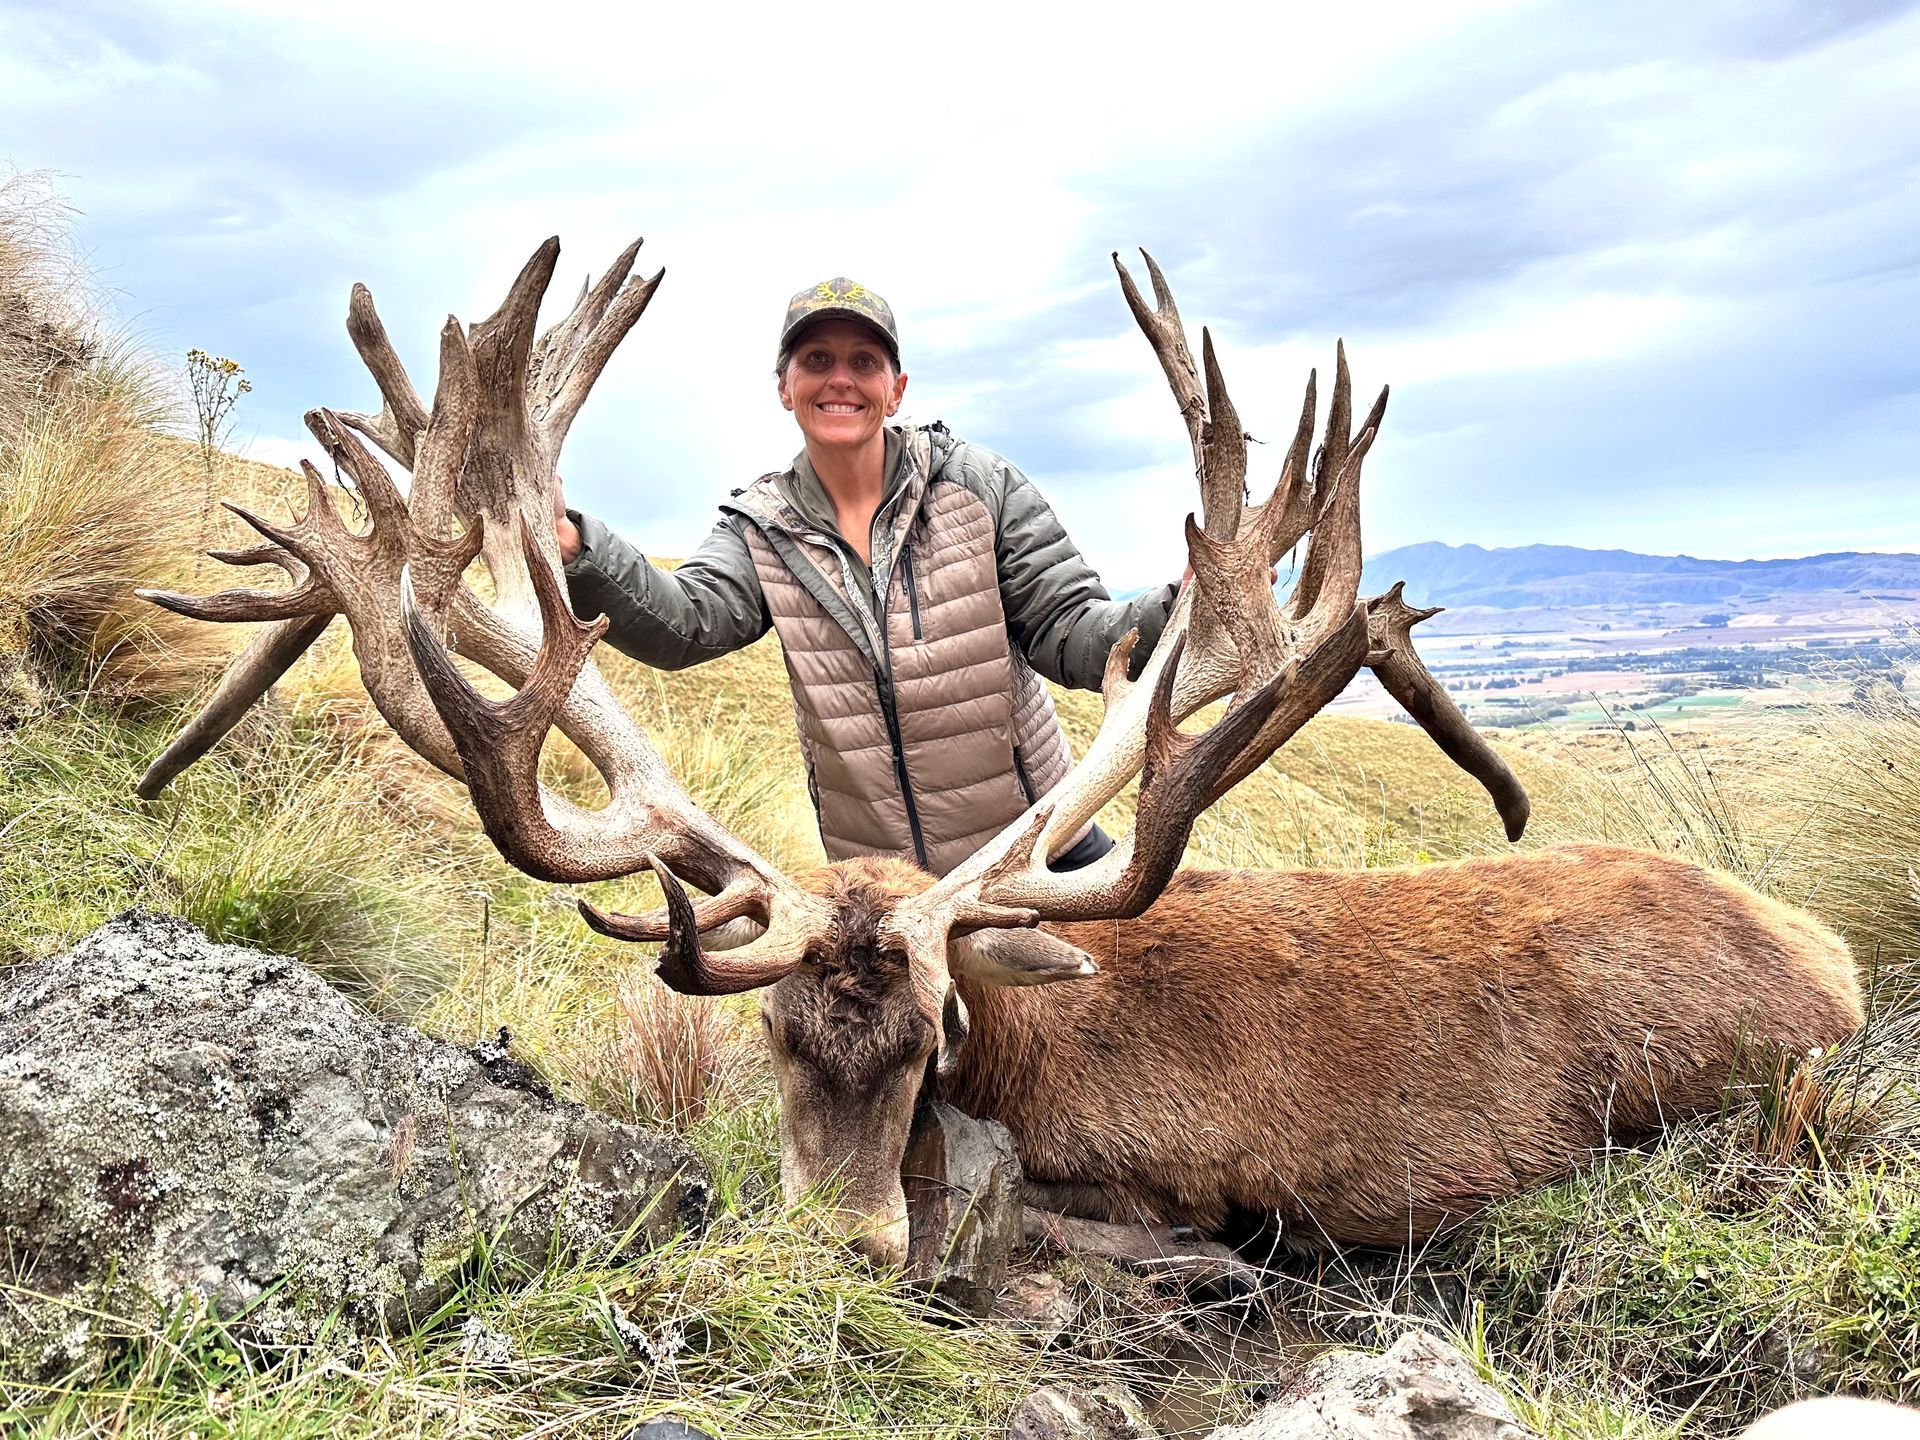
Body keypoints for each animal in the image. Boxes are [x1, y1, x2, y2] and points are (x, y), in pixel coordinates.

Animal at [139, 239, 1864, 1269]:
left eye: (923, 1049)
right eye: (773, 1041)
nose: (842, 1251)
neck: (1029, 1052)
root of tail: (1831, 961)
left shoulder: (1176, 1175)